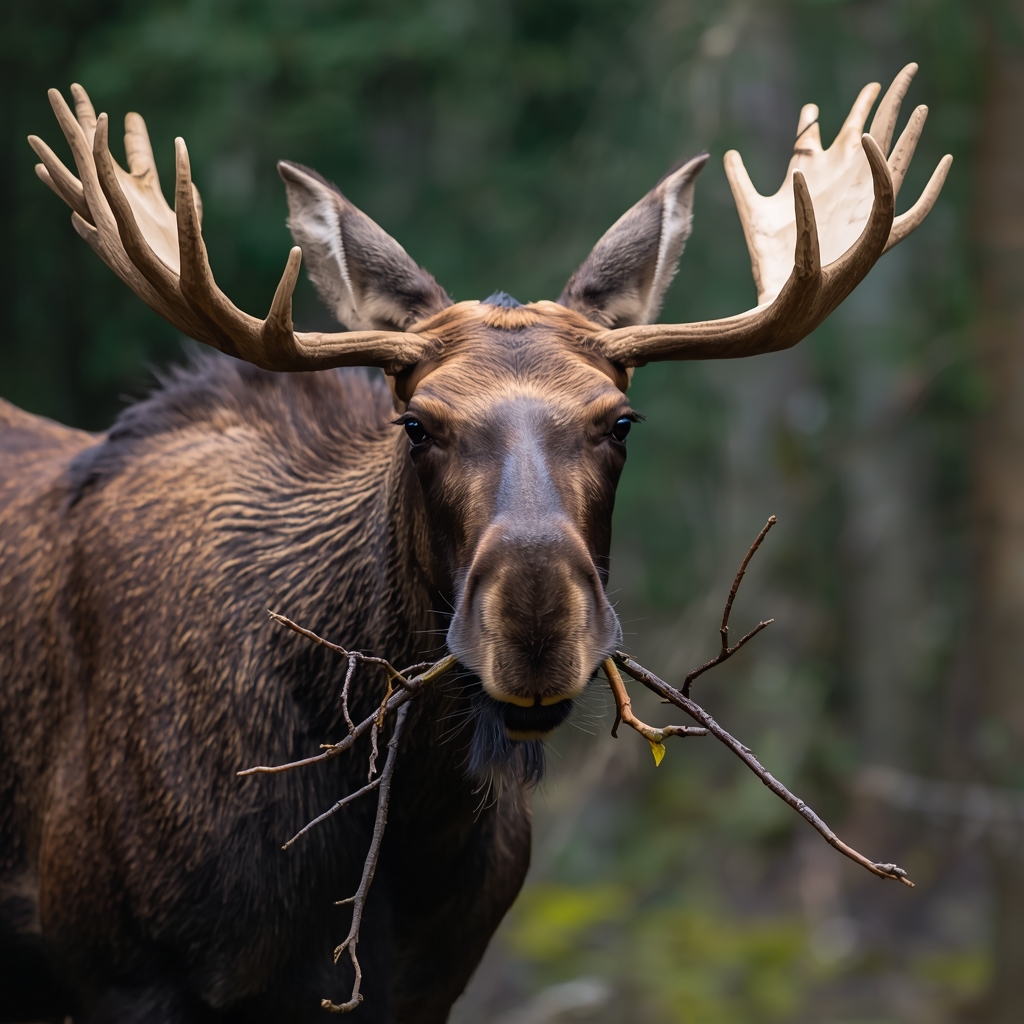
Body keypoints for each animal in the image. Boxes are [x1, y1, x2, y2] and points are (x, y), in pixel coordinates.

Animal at [0, 64, 948, 1022]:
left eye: (621, 421)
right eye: (417, 424)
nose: (534, 627)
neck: (404, 828)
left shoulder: (434, 979)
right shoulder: (123, 968)